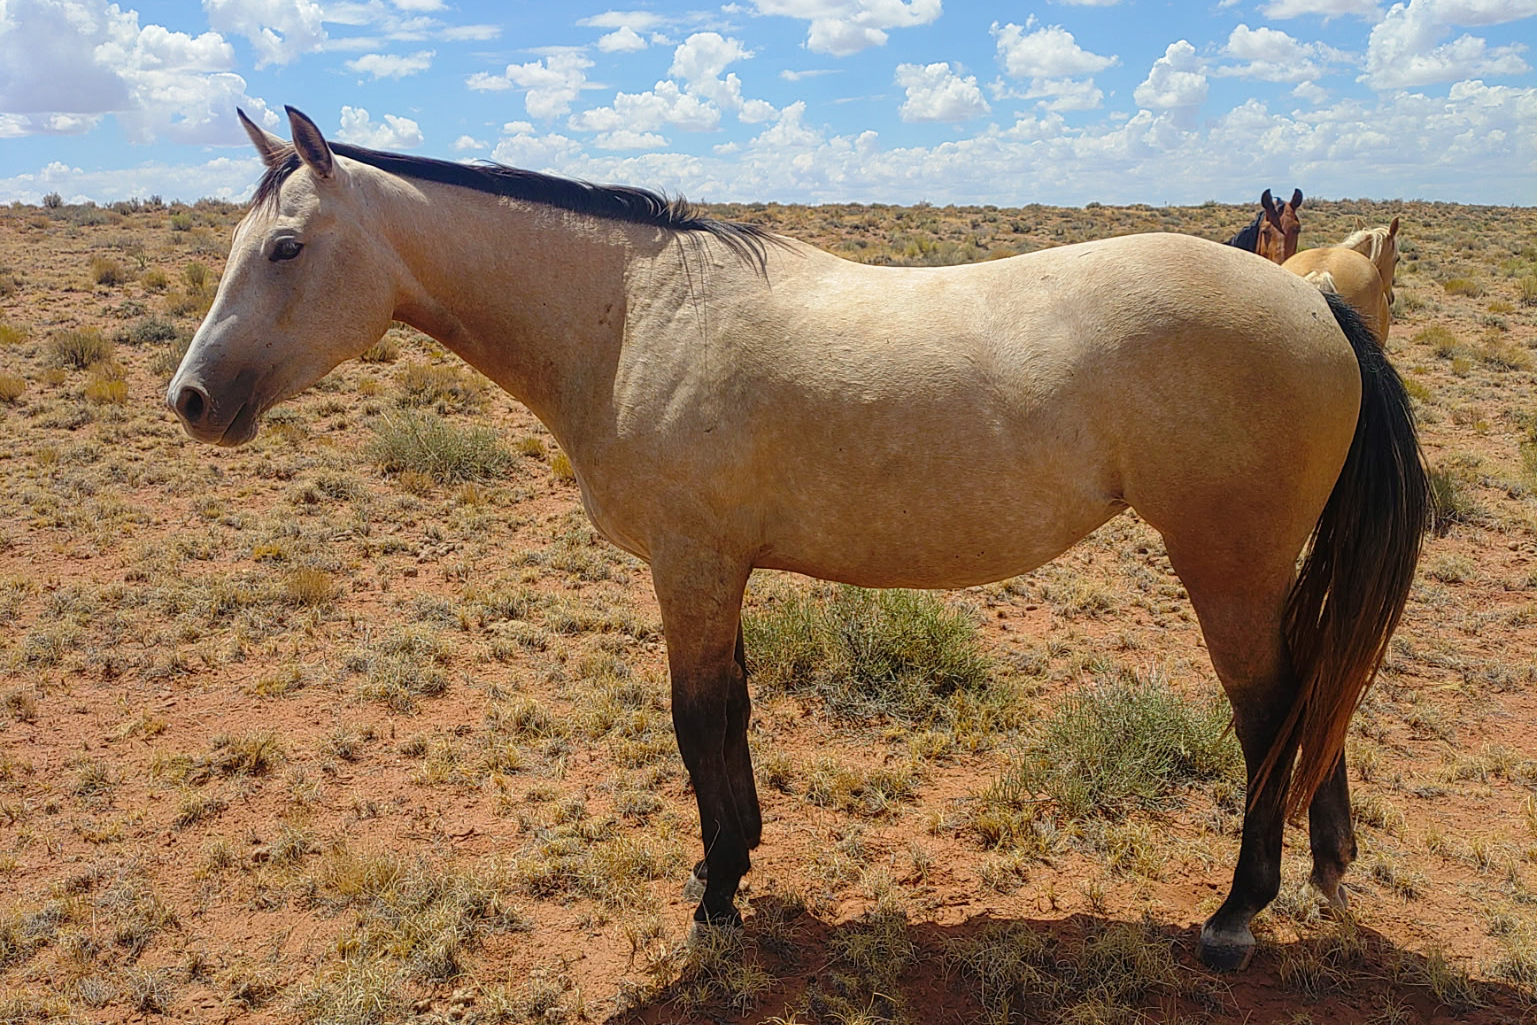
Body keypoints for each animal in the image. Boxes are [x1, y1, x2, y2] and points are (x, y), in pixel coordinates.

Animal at [166, 108, 1429, 972]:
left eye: (285, 248)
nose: (190, 399)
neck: (630, 315)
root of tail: (1314, 303)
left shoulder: (690, 566)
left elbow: (698, 720)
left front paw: (718, 891)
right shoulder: (716, 570)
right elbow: (729, 714)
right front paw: (728, 860)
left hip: (1226, 565)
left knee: (1273, 713)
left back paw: (1234, 912)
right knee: (1314, 701)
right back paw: (1322, 869)